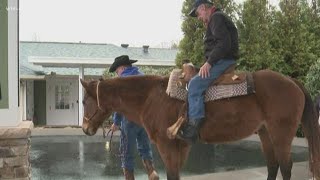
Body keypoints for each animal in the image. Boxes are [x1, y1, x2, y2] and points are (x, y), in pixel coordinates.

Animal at [79, 68, 320, 179]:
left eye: (83, 101)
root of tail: (291, 81)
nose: (86, 128)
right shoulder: (180, 146)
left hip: (281, 134)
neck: (151, 97)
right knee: (273, 165)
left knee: (285, 166)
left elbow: (172, 175)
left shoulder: (167, 145)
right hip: (265, 133)